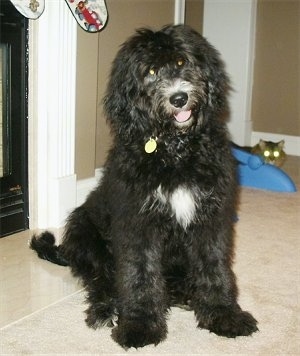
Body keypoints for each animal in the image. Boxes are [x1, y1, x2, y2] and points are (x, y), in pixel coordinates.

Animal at [31, 24, 258, 348]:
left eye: (181, 61)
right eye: (150, 71)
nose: (179, 97)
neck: (175, 151)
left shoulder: (209, 220)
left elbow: (214, 267)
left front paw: (223, 315)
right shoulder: (138, 223)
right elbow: (139, 275)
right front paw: (140, 325)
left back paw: (183, 293)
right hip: (87, 235)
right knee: (101, 282)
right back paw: (104, 310)